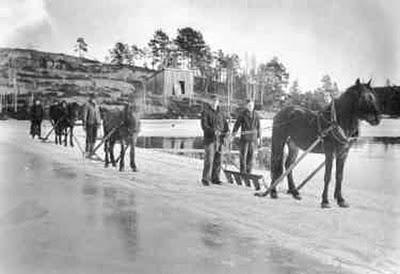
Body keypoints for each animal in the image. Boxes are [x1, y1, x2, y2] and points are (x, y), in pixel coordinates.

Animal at [264, 78, 380, 208]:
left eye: (373, 97)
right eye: (364, 98)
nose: (377, 119)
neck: (336, 123)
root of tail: (281, 112)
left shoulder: (342, 154)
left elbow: (339, 176)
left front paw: (340, 200)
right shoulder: (329, 152)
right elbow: (327, 176)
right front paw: (325, 201)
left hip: (294, 146)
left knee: (289, 165)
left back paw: (294, 192)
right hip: (279, 140)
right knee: (276, 163)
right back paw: (273, 192)